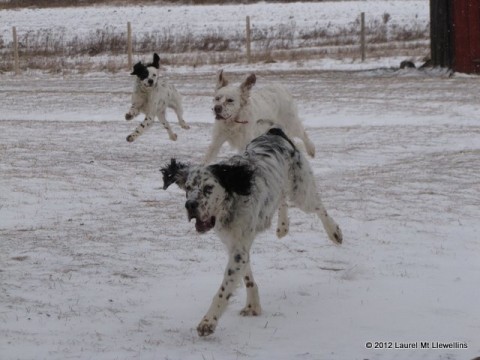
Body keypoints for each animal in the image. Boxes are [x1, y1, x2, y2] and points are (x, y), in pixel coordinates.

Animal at [161, 127, 342, 338]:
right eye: (188, 188)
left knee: (319, 207)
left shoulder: (238, 249)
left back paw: (334, 232)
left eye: (208, 188)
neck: (233, 200)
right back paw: (283, 226)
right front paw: (253, 305)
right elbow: (247, 277)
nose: (190, 205)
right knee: (282, 198)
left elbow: (223, 290)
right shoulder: (235, 245)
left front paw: (208, 321)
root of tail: (275, 131)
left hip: (301, 192)